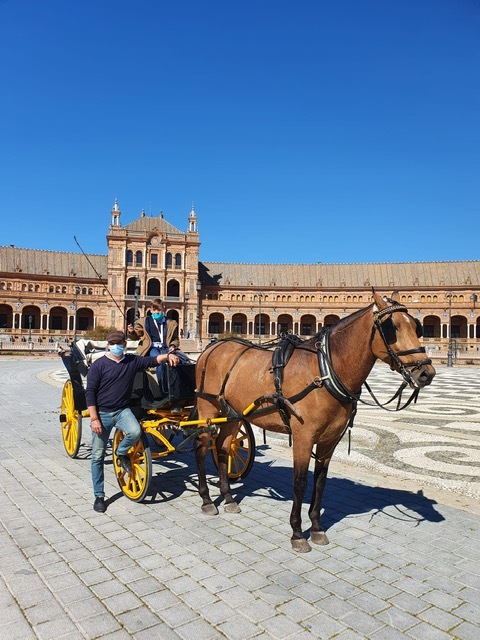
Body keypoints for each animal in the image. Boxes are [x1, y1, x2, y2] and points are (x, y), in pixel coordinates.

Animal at [194, 292, 436, 552]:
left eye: (417, 326)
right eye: (392, 327)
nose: (427, 373)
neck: (325, 371)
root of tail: (212, 346)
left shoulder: (329, 440)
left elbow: (320, 482)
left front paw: (317, 528)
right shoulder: (303, 436)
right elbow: (300, 482)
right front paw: (297, 533)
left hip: (232, 415)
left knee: (222, 448)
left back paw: (228, 498)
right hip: (207, 409)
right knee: (201, 448)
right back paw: (207, 500)